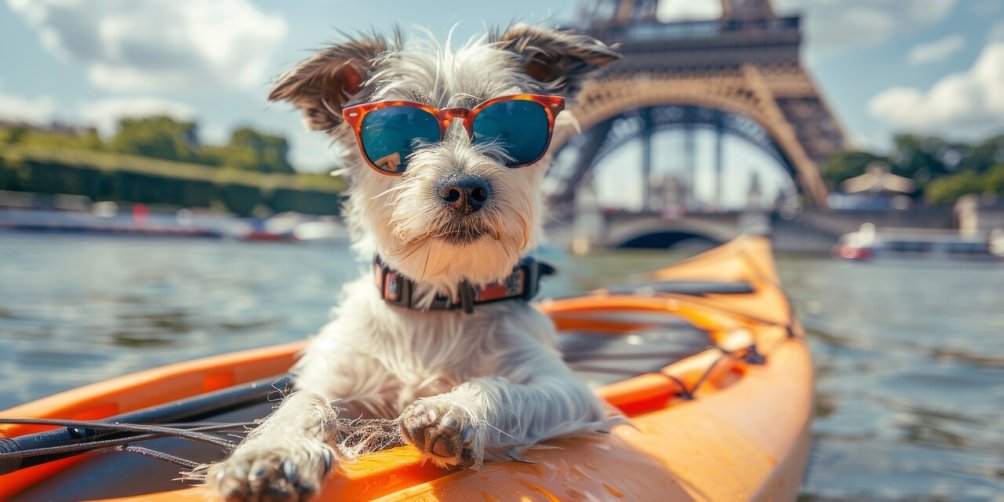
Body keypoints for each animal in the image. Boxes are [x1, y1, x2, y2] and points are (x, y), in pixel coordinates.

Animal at [206, 24, 618, 501]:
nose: (464, 188)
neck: (437, 300)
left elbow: (505, 389)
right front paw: (273, 451)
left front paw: (455, 409)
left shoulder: (569, 392)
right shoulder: (339, 374)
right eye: (399, 131)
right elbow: (304, 400)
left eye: (510, 125)